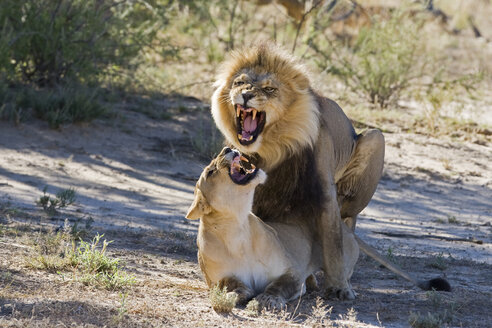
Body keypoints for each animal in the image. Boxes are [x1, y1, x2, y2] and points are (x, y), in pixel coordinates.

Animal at [186, 147, 360, 308]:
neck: (237, 230)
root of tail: (345, 227)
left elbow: (279, 286)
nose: (227, 148)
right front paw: (233, 295)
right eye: (210, 172)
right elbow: (229, 283)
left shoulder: (292, 272)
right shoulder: (215, 279)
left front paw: (266, 299)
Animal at [209, 42, 452, 298]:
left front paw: (339, 288)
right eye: (239, 82)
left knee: (348, 221)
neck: (272, 148)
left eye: (269, 88)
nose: (245, 95)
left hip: (375, 140)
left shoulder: (324, 191)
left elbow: (334, 242)